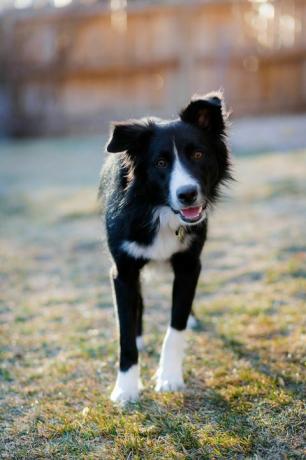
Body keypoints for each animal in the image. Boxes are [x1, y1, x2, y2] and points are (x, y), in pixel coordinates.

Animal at [99, 91, 231, 404]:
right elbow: (124, 335)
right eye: (160, 163)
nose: (187, 194)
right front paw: (125, 388)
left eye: (198, 155)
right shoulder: (123, 270)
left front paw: (169, 377)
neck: (158, 210)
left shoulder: (189, 265)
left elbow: (176, 326)